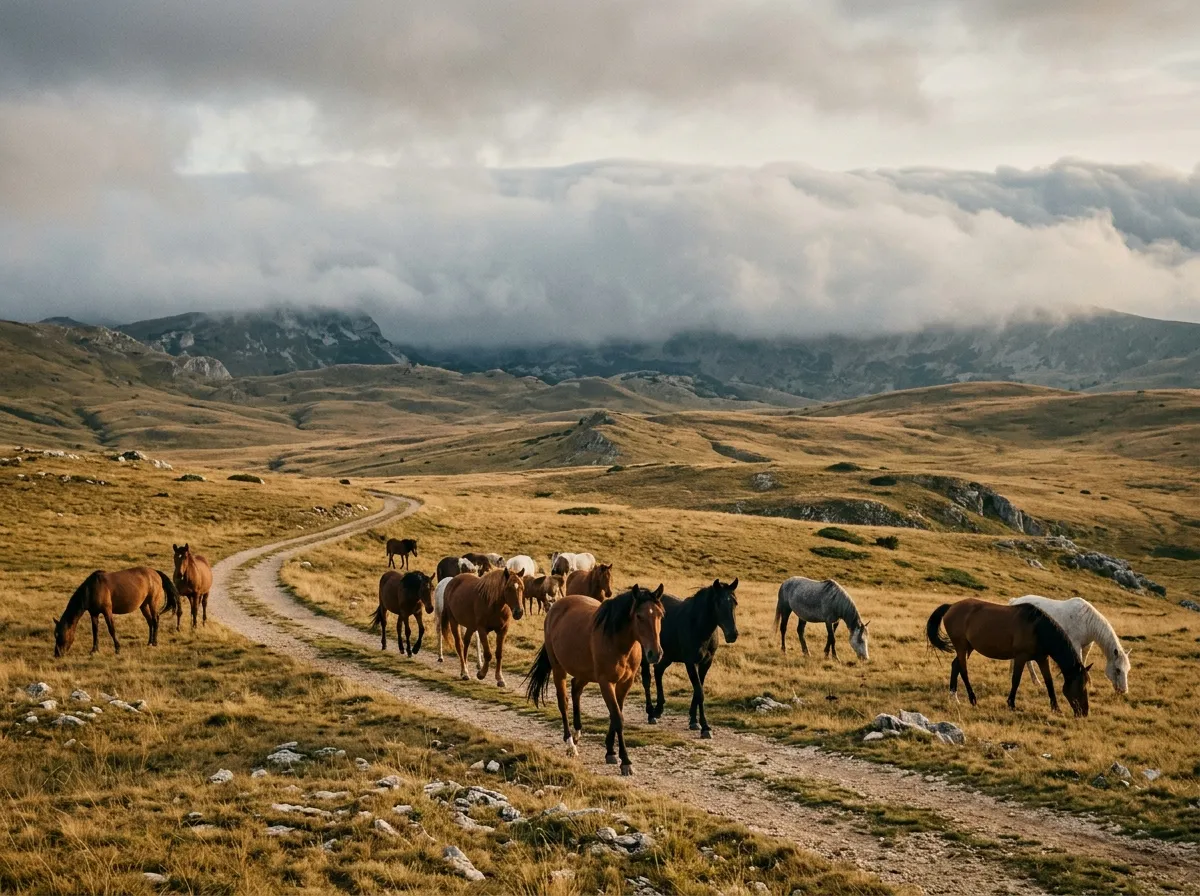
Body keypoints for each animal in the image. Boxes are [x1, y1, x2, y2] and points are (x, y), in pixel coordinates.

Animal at [525, 585, 665, 776]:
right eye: (639, 616)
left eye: (660, 615)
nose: (655, 654)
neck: (618, 641)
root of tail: (555, 607)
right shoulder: (606, 683)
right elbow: (617, 718)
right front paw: (625, 761)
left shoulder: (625, 683)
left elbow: (616, 715)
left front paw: (610, 752)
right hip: (559, 669)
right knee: (563, 702)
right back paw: (570, 744)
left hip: (585, 673)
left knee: (576, 690)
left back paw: (577, 733)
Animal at [642, 578, 739, 738]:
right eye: (718, 603)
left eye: (735, 602)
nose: (733, 634)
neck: (698, 627)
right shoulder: (690, 662)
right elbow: (699, 692)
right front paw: (705, 727)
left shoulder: (706, 663)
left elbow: (698, 690)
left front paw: (694, 721)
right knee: (647, 679)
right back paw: (651, 714)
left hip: (667, 656)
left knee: (658, 671)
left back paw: (658, 710)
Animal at [925, 598, 1091, 716]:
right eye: (1080, 686)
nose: (1084, 712)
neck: (1037, 628)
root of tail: (951, 606)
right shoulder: (1020, 657)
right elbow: (1016, 680)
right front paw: (1011, 704)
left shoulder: (1042, 658)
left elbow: (1049, 682)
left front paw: (1056, 708)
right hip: (961, 646)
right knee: (963, 670)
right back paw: (972, 698)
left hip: (968, 647)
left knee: (956, 666)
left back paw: (953, 696)